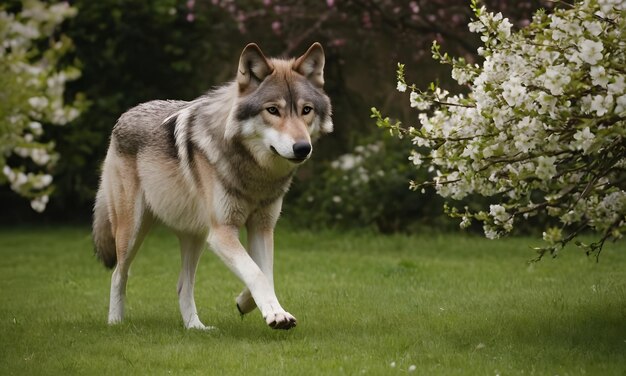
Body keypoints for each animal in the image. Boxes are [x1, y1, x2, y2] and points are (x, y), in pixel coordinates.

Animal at [92, 42, 332, 328]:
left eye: (306, 110)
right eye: (273, 110)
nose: (302, 148)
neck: (255, 174)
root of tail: (125, 115)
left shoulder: (262, 227)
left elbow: (265, 274)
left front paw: (249, 304)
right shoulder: (222, 232)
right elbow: (256, 273)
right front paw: (276, 314)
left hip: (195, 235)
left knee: (182, 284)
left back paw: (196, 328)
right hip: (133, 231)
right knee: (119, 274)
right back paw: (115, 322)